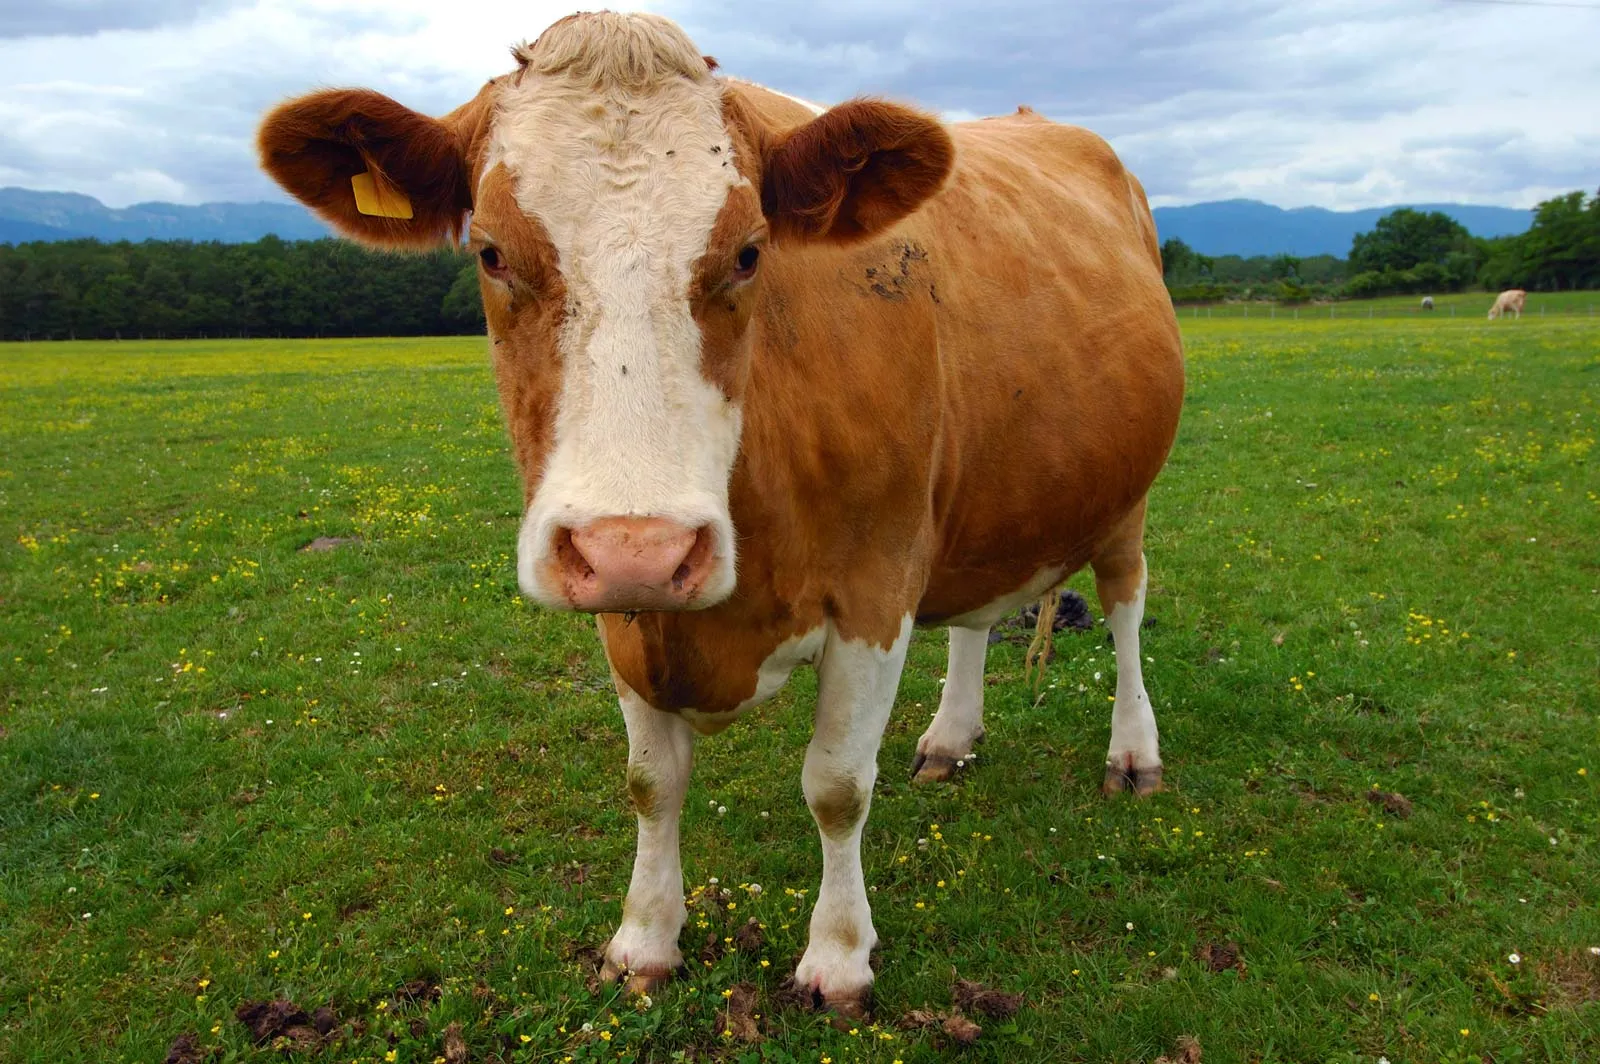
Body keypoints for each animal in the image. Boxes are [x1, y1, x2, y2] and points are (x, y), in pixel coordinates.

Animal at [257, 11, 1184, 1013]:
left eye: (748, 251)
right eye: (492, 251)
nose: (641, 549)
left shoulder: (876, 584)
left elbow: (837, 785)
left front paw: (838, 955)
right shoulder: (627, 613)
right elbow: (650, 782)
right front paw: (644, 937)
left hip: (1126, 495)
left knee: (1126, 606)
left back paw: (1133, 754)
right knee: (978, 615)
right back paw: (950, 737)